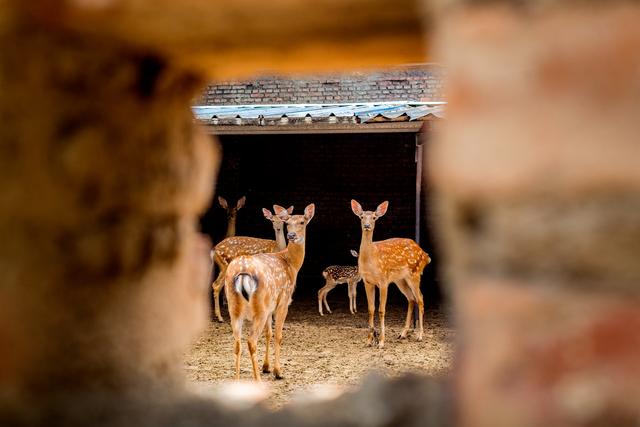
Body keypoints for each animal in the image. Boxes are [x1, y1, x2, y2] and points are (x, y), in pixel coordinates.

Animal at [225, 204, 316, 382]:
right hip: (259, 307)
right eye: (288, 223)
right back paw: (258, 380)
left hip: (235, 308)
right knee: (251, 341)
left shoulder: (270, 306)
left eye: (302, 222)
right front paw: (277, 371)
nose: (291, 235)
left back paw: (237, 381)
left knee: (237, 343)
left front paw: (266, 367)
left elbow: (268, 333)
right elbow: (278, 335)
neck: (291, 264)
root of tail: (242, 271)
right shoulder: (284, 301)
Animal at [350, 199, 430, 350]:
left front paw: (381, 342)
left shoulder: (383, 280)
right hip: (401, 280)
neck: (371, 258)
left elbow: (381, 310)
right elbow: (370, 309)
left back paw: (420, 335)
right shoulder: (367, 281)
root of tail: (425, 255)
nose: (367, 226)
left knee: (421, 298)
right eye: (361, 216)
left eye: (374, 217)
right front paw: (369, 341)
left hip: (415, 273)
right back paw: (402, 334)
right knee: (411, 299)